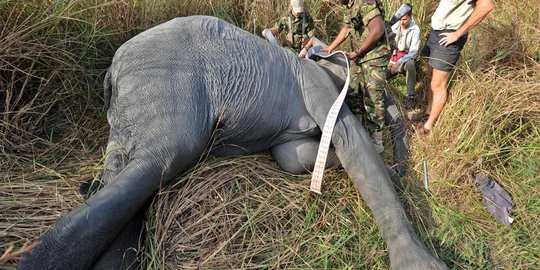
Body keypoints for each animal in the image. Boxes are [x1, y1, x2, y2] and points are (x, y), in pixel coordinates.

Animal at [19, 15, 446, 270]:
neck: (317, 54)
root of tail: (112, 72)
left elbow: (293, 156)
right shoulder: (317, 82)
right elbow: (348, 141)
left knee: (128, 169)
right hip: (163, 83)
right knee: (163, 158)